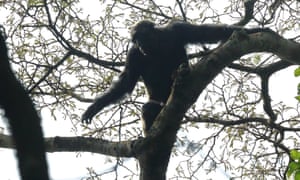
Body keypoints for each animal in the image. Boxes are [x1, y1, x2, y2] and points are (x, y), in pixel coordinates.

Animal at [81, 20, 266, 134]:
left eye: (140, 36)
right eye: (135, 39)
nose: (139, 44)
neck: (156, 45)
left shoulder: (178, 29)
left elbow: (206, 33)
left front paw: (255, 30)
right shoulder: (133, 55)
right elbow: (126, 82)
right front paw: (95, 107)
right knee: (148, 108)